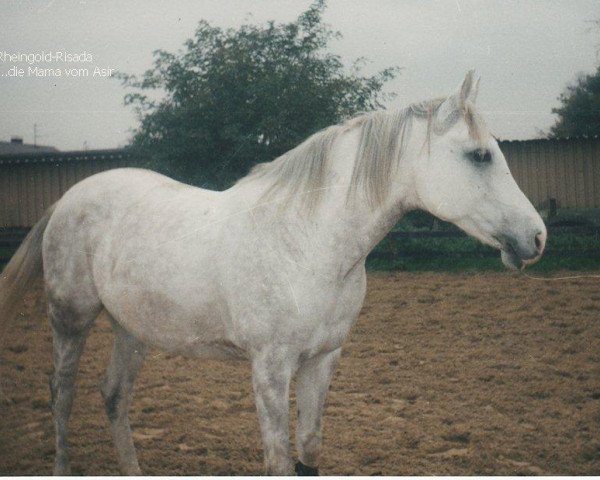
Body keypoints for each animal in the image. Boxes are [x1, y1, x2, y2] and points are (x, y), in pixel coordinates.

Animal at [0, 72, 544, 476]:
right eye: (480, 155)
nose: (536, 237)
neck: (308, 240)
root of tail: (67, 200)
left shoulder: (322, 360)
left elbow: (309, 451)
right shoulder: (269, 368)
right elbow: (278, 461)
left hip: (132, 330)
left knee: (114, 396)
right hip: (70, 321)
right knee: (62, 395)